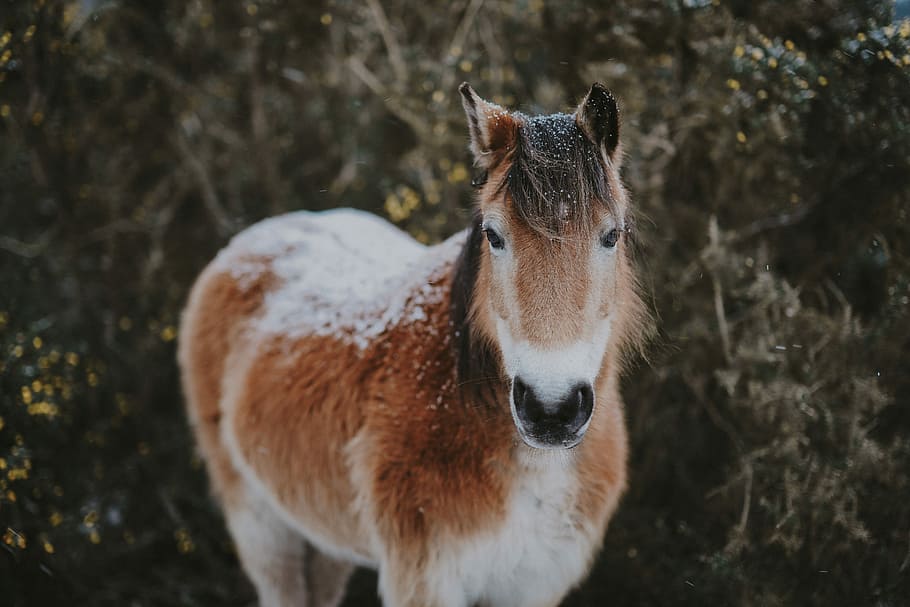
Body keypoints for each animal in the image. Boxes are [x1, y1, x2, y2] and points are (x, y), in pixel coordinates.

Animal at [178, 81, 647, 607]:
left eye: (611, 235)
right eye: (493, 235)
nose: (551, 410)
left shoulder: (534, 586)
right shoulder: (426, 579)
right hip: (264, 530)